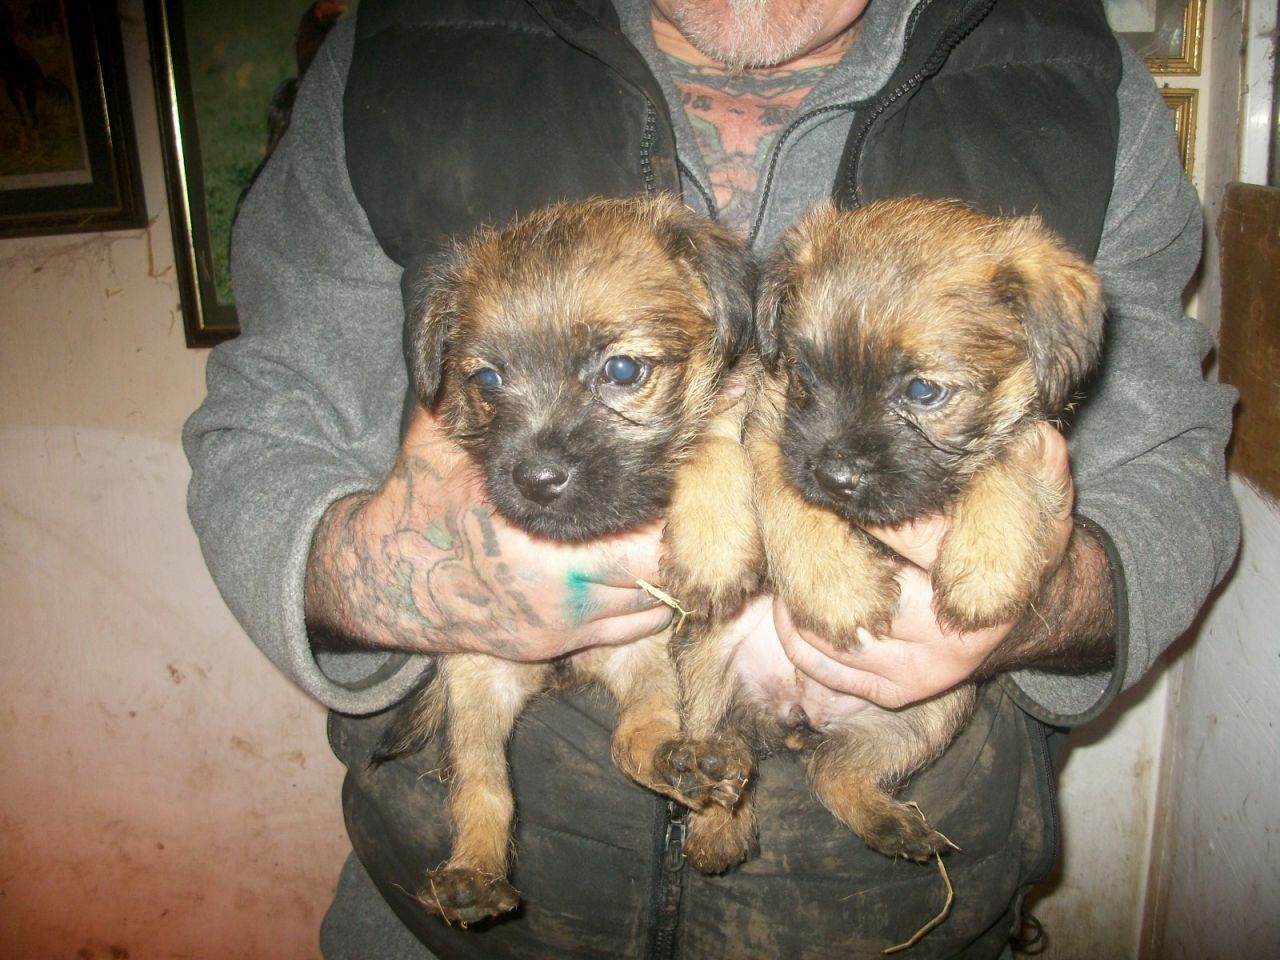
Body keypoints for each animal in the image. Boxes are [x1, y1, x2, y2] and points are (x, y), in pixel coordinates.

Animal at [378, 193, 757, 926]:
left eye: (623, 371)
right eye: (487, 379)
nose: (535, 478)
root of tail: (565, 669)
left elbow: (707, 441)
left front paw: (714, 550)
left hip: (650, 663)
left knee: (636, 737)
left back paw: (687, 767)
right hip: (477, 678)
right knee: (483, 785)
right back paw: (471, 876)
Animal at [665, 199, 1105, 875]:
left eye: (924, 391)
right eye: (804, 375)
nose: (838, 475)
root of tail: (797, 716)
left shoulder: (1035, 436)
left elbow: (1003, 465)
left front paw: (988, 572)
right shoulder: (773, 429)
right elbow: (788, 491)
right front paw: (837, 591)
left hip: (929, 714)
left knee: (833, 771)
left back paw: (893, 826)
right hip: (705, 663)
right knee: (717, 745)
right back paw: (715, 817)